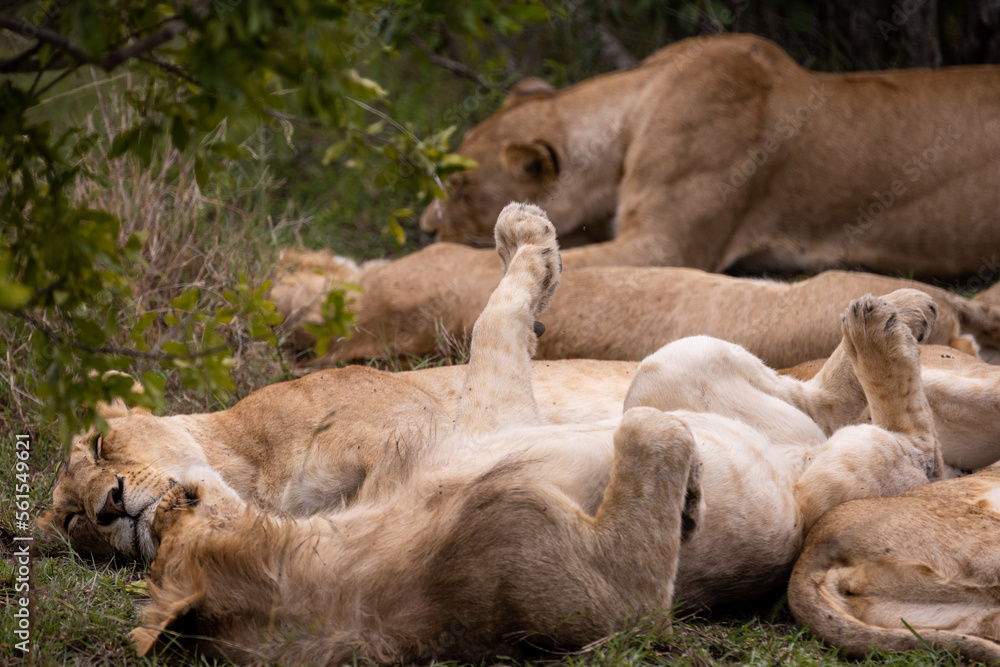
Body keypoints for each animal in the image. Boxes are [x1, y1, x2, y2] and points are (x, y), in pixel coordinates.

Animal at [83, 203, 946, 662]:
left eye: (182, 499)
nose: (114, 507)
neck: (328, 540)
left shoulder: (475, 423)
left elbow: (495, 318)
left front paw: (524, 233)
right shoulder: (609, 596)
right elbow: (641, 438)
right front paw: (691, 494)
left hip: (676, 357)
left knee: (809, 396)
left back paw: (903, 308)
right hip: (836, 479)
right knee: (909, 442)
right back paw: (883, 327)